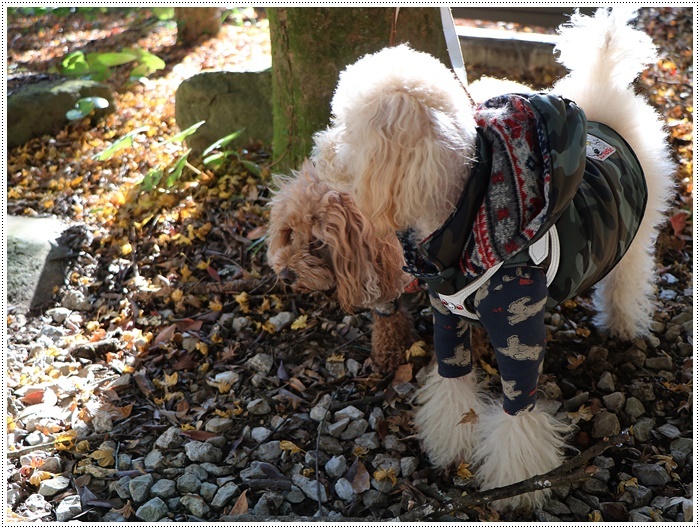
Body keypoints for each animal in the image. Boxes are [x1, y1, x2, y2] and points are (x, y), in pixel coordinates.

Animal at [314, 8, 676, 510]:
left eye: (346, 129)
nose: (317, 151)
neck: (465, 218)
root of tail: (603, 99)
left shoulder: (517, 328)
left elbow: (517, 413)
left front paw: (515, 486)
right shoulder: (447, 313)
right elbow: (451, 380)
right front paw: (448, 443)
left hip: (637, 233)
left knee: (629, 277)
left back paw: (623, 324)